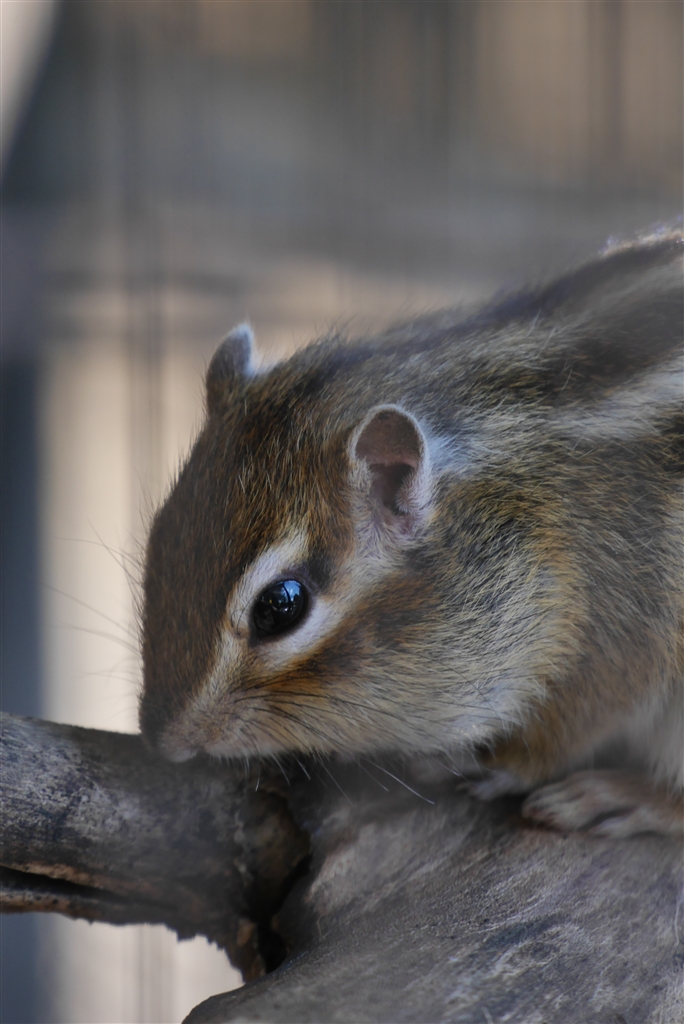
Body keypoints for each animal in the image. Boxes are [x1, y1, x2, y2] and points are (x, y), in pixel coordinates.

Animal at [140, 229, 683, 838]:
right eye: (159, 539)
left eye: (280, 606)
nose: (165, 741)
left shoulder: (623, 624)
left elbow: (569, 730)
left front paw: (490, 763)